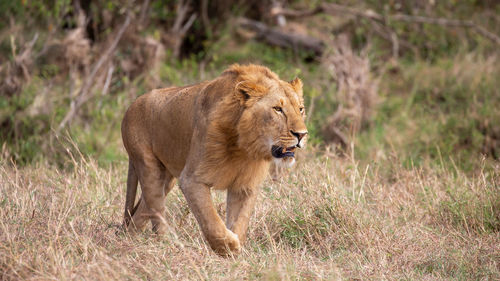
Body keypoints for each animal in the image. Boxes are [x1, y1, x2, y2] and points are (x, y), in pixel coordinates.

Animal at [122, 63, 308, 254]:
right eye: (278, 109)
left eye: (300, 109)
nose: (302, 134)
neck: (243, 146)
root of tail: (132, 104)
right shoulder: (191, 179)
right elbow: (211, 220)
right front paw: (229, 246)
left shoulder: (245, 185)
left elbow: (240, 222)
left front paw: (237, 249)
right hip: (148, 167)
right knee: (156, 209)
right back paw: (170, 244)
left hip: (166, 179)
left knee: (138, 215)